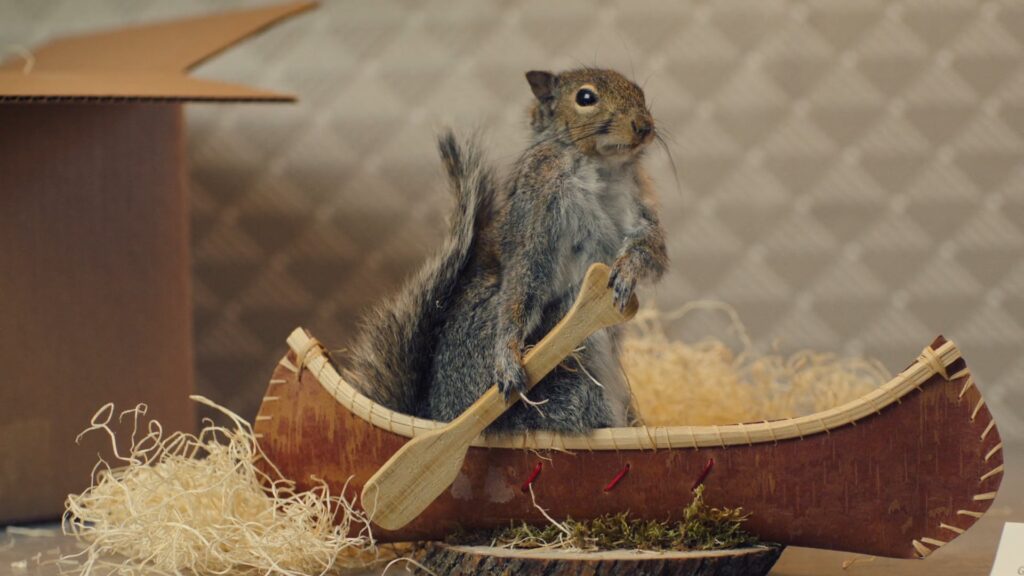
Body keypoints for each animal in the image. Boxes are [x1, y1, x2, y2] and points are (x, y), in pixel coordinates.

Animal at [342, 68, 668, 434]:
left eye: (640, 91)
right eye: (585, 98)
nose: (644, 126)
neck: (602, 166)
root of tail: (438, 415)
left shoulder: (637, 201)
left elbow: (652, 248)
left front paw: (628, 270)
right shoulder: (537, 202)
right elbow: (524, 278)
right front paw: (508, 358)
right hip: (574, 379)